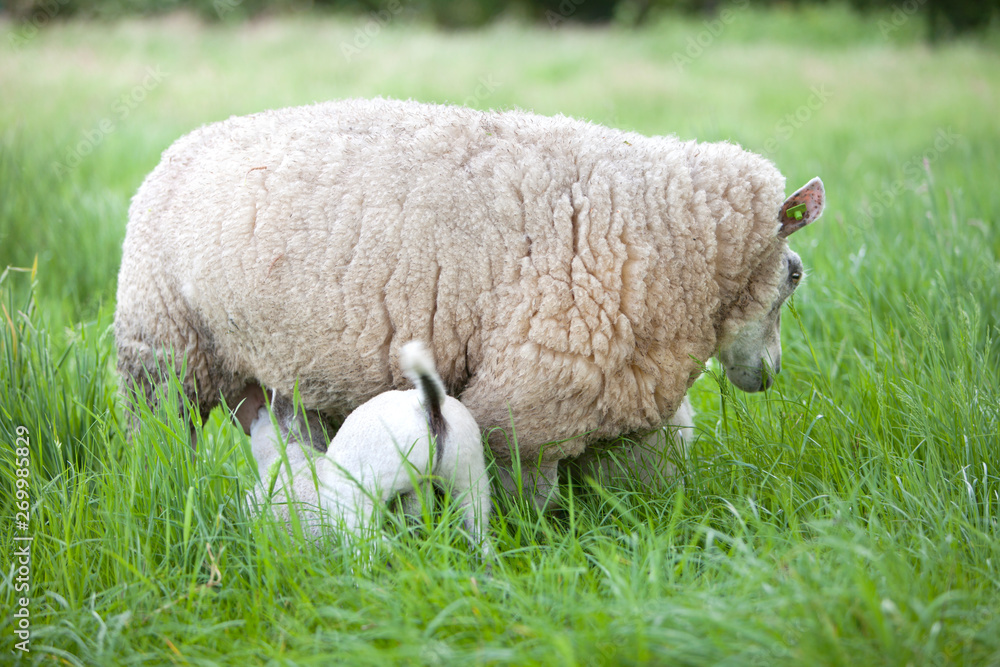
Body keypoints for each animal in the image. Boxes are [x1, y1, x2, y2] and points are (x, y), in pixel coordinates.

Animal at [115, 98, 828, 506]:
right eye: (794, 274)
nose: (770, 375)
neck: (664, 230)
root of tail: (177, 148)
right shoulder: (533, 404)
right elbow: (530, 504)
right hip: (161, 350)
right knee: (155, 438)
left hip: (286, 375)